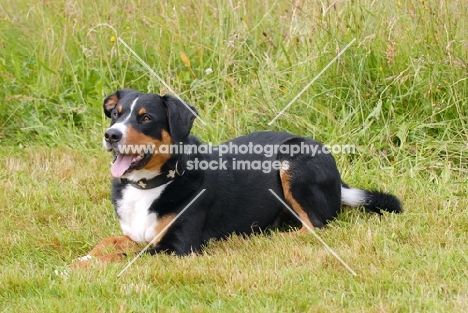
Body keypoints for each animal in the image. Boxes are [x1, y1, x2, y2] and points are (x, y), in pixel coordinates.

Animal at [74, 88, 402, 266]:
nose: (111, 135)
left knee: (316, 225)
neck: (153, 183)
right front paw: (82, 259)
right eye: (116, 114)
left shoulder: (178, 247)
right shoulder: (136, 234)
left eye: (145, 118)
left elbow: (120, 257)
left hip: (293, 161)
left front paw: (80, 268)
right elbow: (107, 244)